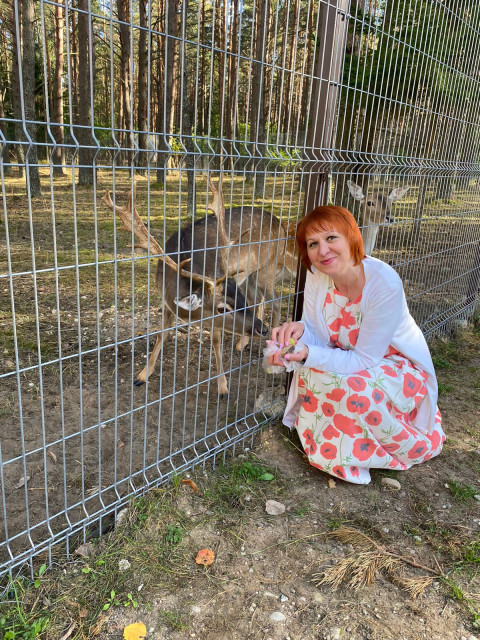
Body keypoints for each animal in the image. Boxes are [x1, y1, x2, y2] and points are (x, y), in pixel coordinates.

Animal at [102, 180, 288, 398]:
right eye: (222, 308)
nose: (262, 329)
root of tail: (282, 225)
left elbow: (215, 340)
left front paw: (223, 387)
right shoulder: (166, 300)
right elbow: (161, 334)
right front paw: (142, 375)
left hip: (268, 266)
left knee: (276, 299)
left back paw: (275, 348)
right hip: (250, 275)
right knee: (258, 299)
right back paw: (242, 343)